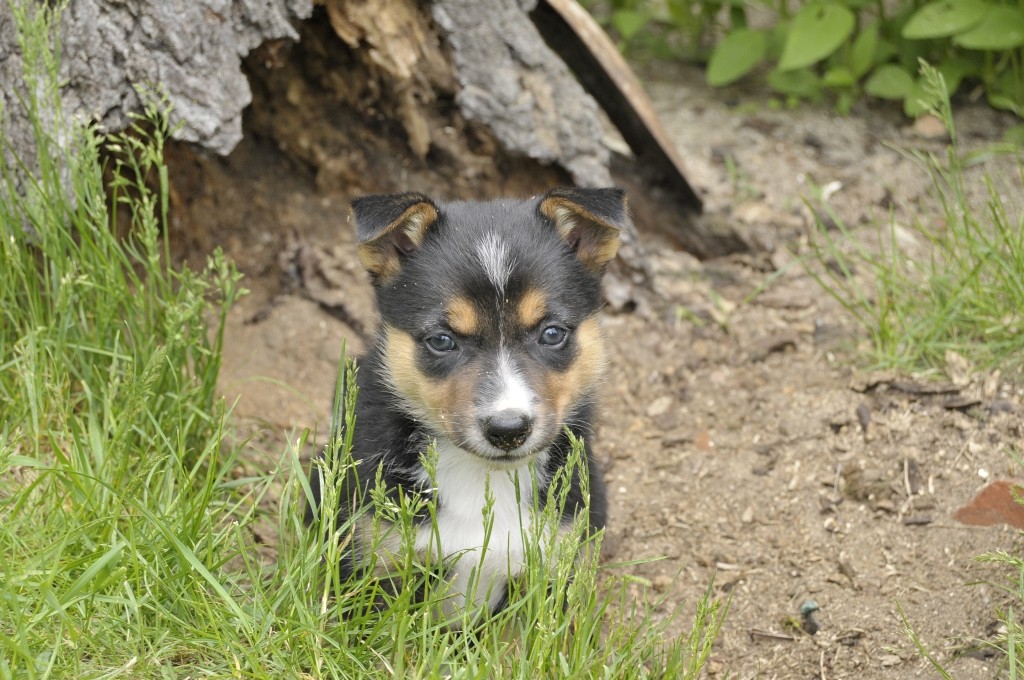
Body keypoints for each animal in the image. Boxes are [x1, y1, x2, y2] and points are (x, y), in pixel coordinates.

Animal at [303, 188, 622, 618]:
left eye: (552, 333)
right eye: (441, 340)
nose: (508, 431)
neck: (483, 475)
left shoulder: (559, 564)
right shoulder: (371, 561)